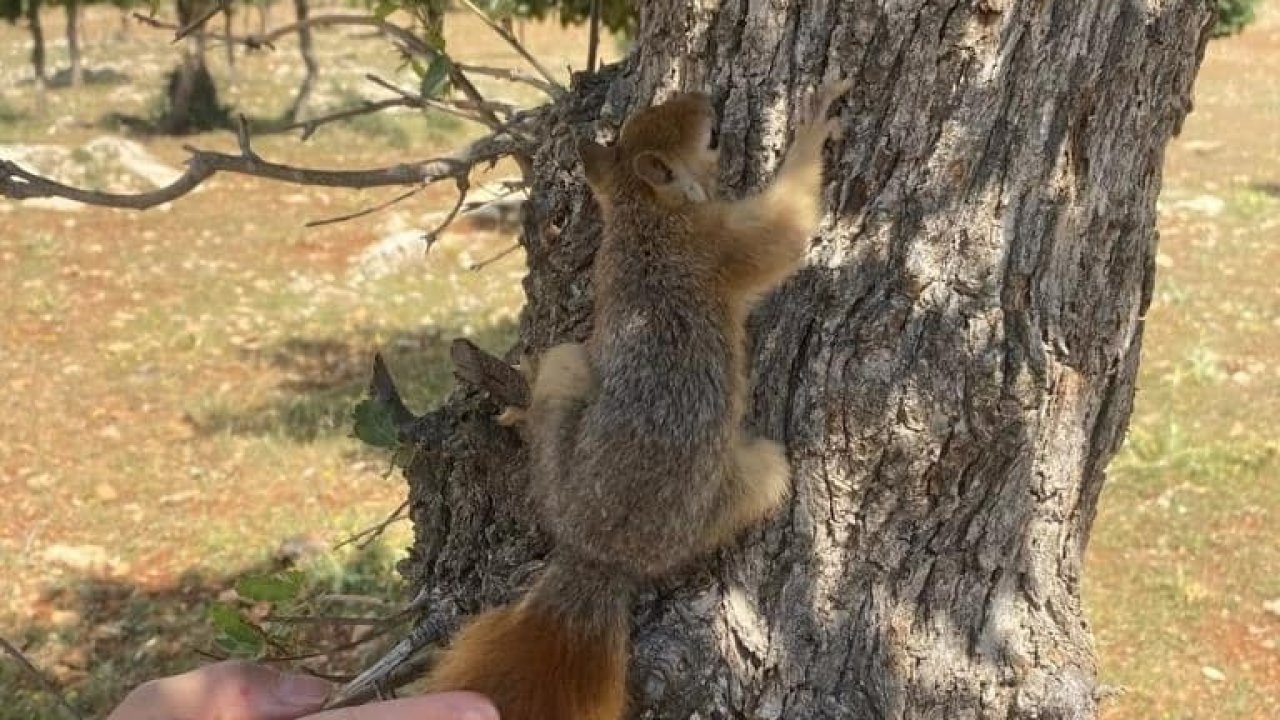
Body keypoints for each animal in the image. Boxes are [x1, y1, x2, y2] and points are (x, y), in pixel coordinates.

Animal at [424, 78, 855, 717]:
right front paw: (812, 124)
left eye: (640, 122)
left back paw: (521, 406)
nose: (707, 97)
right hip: (749, 476)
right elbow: (786, 232)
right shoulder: (723, 245)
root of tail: (599, 555)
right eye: (711, 138)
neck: (643, 214)